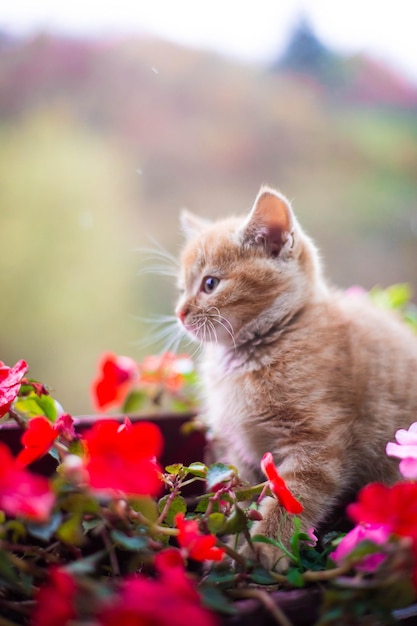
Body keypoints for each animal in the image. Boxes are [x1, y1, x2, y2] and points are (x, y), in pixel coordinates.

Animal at [174, 184, 416, 564]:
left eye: (210, 283)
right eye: (181, 288)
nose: (180, 313)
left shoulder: (319, 444)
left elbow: (293, 498)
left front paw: (262, 549)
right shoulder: (240, 453)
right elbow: (239, 496)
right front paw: (232, 543)